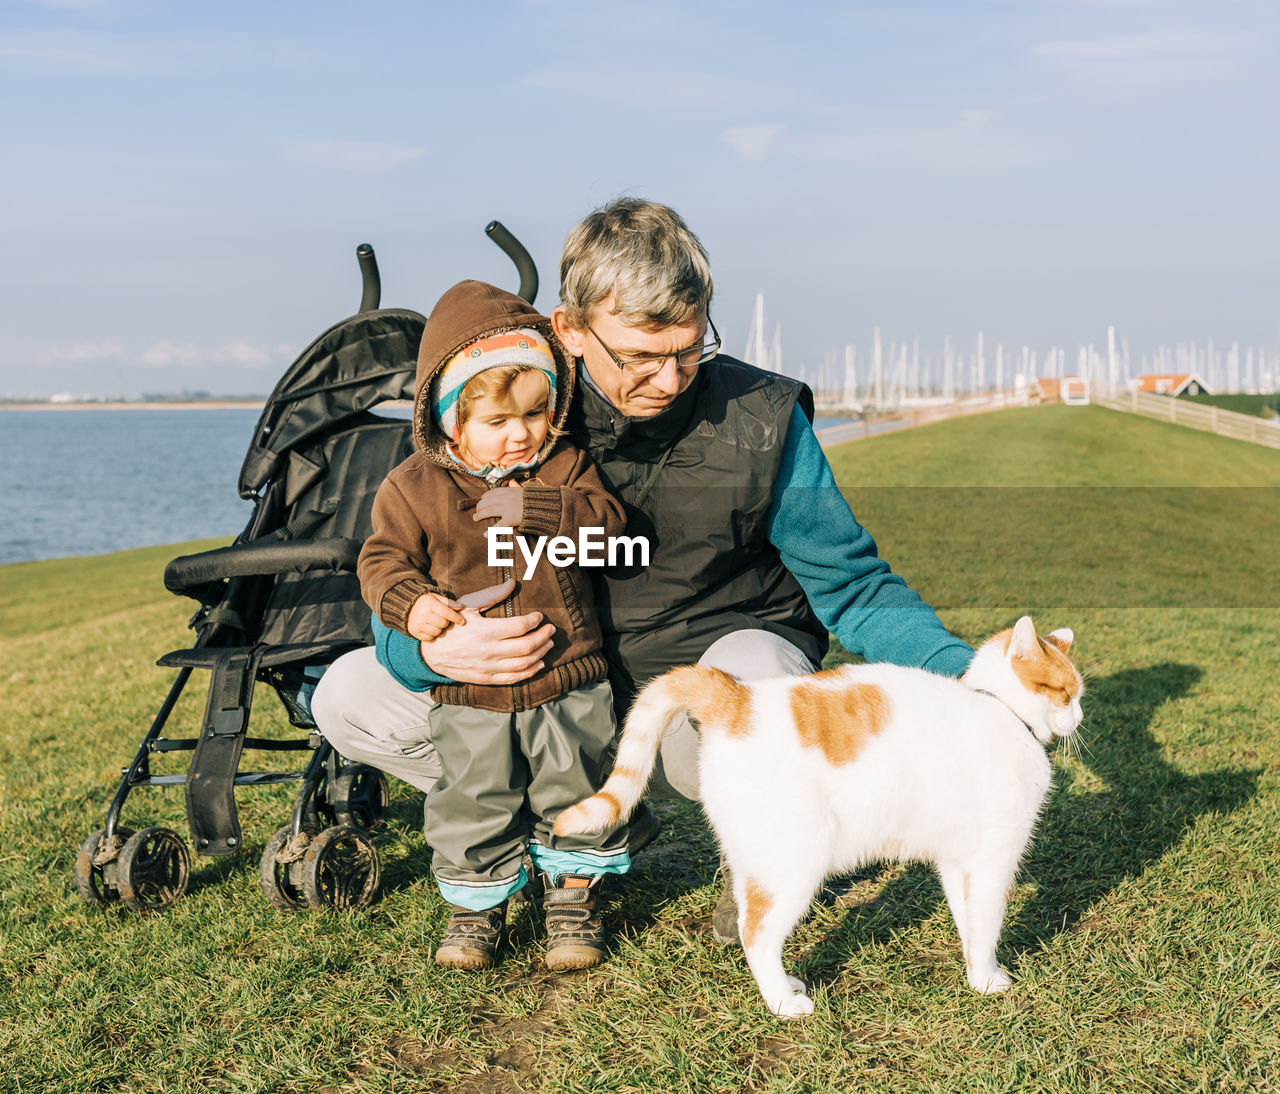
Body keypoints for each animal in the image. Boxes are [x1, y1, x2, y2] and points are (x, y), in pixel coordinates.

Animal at [555, 616, 1085, 1018]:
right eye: (1067, 692)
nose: (1080, 718)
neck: (1004, 713)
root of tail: (737, 698)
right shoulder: (993, 857)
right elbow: (989, 923)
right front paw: (991, 981)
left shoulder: (960, 861)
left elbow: (970, 923)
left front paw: (976, 975)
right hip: (792, 863)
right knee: (757, 934)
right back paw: (783, 1005)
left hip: (756, 859)